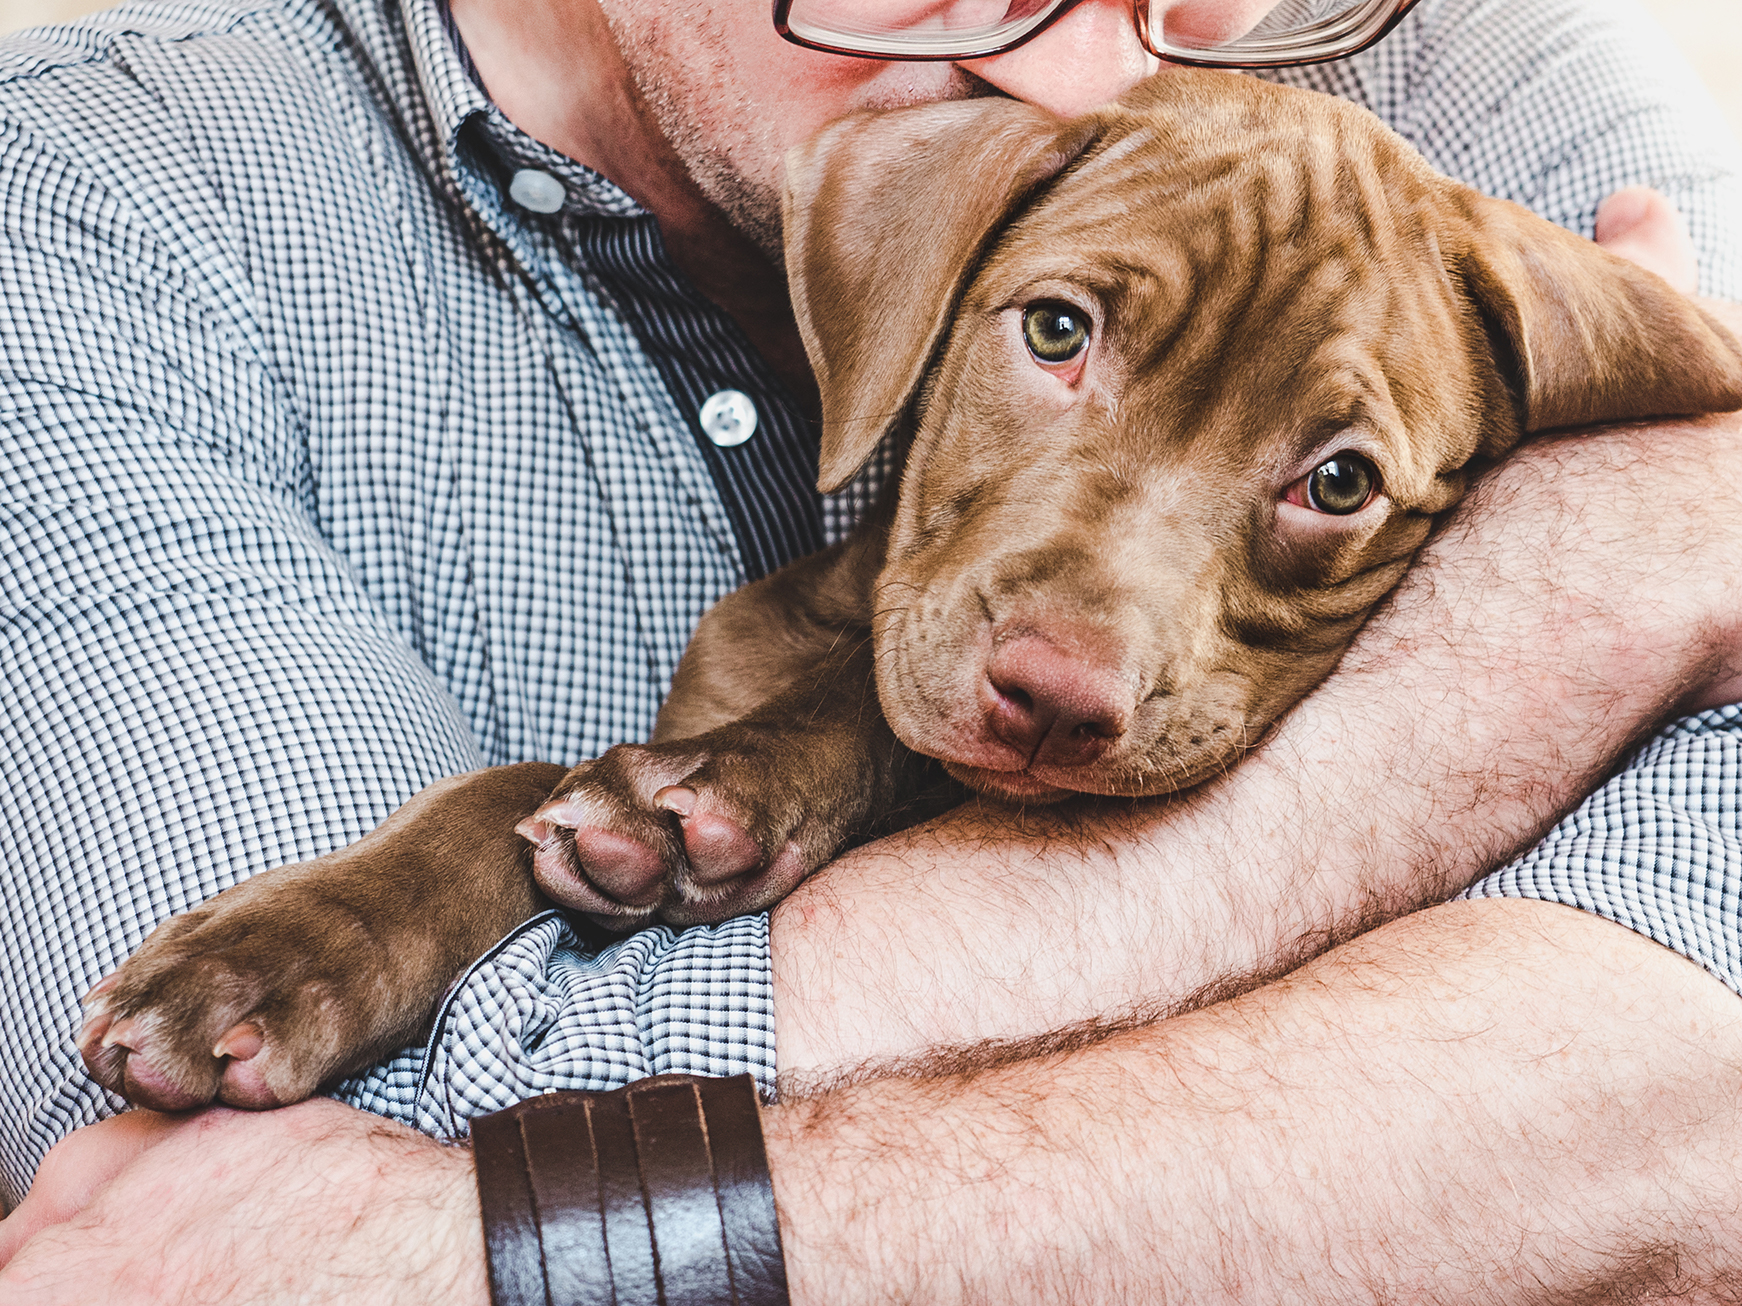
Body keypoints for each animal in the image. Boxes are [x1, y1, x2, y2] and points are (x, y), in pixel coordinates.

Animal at [84, 74, 1742, 1114]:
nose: (1057, 702)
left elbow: (855, 727)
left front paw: (706, 798)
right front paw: (270, 954)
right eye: (1056, 330)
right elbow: (497, 785)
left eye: (1336, 481)